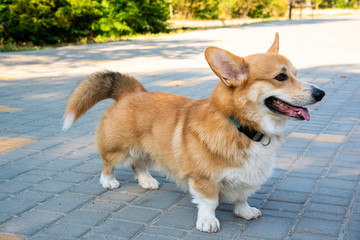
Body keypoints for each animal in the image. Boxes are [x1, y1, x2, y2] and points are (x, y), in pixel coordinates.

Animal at [62, 33, 326, 232]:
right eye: (280, 77)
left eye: (295, 73)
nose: (321, 93)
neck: (240, 126)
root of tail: (132, 90)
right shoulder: (204, 179)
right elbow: (209, 202)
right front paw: (208, 222)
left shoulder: (244, 178)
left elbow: (241, 196)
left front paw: (245, 211)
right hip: (120, 148)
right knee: (108, 162)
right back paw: (109, 181)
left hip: (148, 148)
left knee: (139, 165)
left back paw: (147, 181)